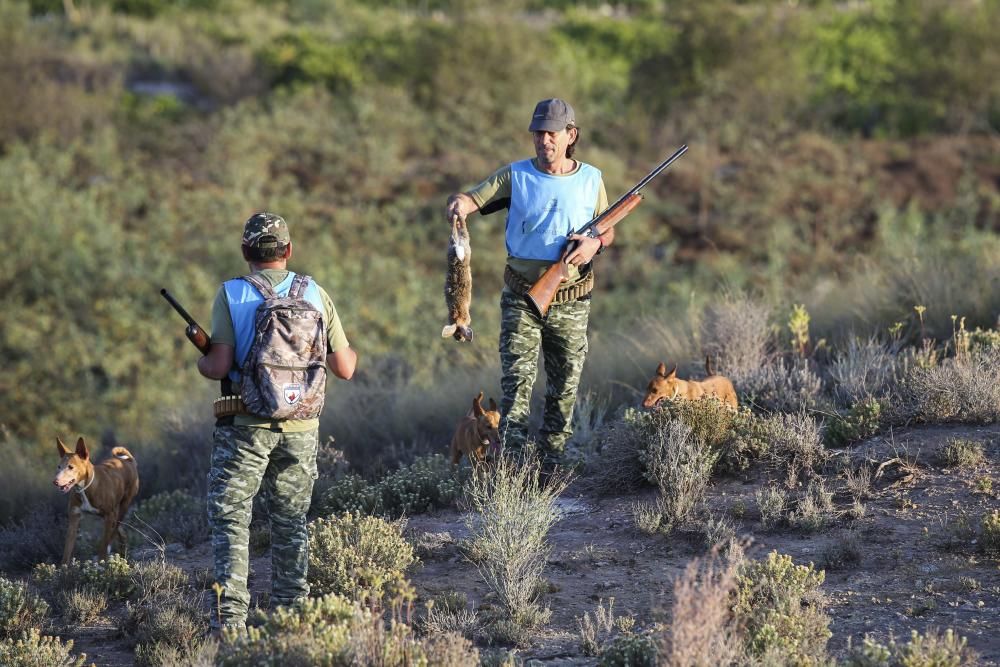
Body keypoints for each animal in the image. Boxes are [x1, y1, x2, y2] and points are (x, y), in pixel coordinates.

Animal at [53, 436, 140, 568]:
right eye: (59, 467)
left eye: (70, 467)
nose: (55, 482)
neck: (85, 488)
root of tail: (129, 461)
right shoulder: (74, 518)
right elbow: (67, 551)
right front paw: (62, 570)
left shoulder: (109, 516)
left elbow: (104, 544)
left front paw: (102, 562)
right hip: (113, 514)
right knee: (121, 533)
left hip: (122, 508)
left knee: (114, 531)